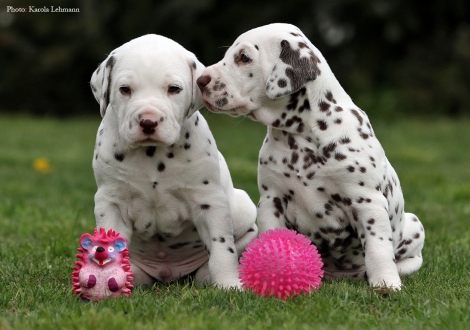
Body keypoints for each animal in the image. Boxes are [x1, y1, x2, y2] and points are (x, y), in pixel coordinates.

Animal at [88, 34, 258, 288]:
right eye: (125, 89)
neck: (153, 154)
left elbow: (222, 248)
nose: (148, 122)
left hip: (245, 210)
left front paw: (229, 284)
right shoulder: (111, 203)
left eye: (174, 89)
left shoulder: (209, 202)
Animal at [196, 23, 424, 290]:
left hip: (414, 225)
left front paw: (386, 283)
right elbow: (270, 236)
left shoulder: (367, 201)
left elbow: (378, 248)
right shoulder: (272, 200)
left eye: (244, 57)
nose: (200, 81)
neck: (302, 138)